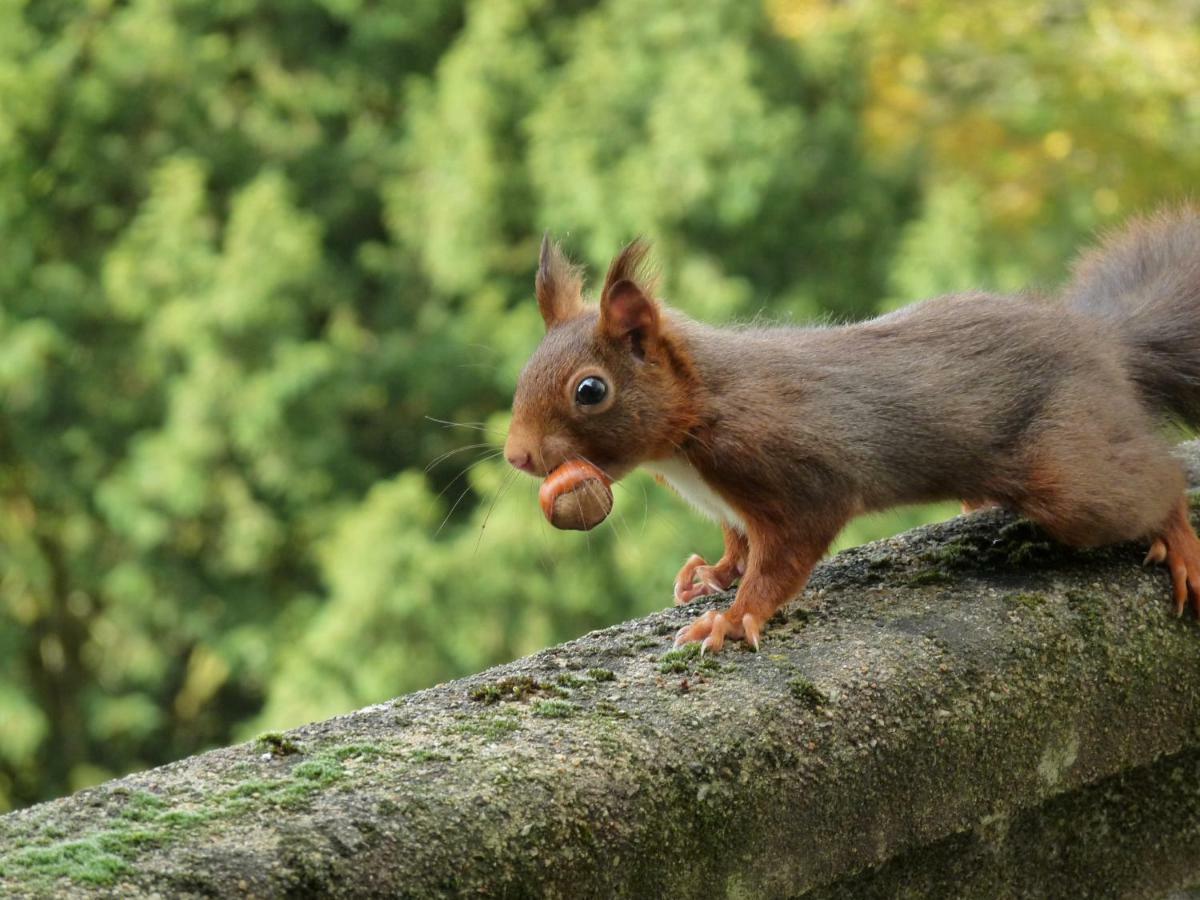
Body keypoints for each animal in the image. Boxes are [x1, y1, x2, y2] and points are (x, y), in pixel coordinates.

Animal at [501, 211, 1200, 657]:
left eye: (590, 391)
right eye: (525, 368)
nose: (516, 455)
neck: (696, 416)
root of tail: (1104, 343)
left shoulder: (795, 473)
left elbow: (780, 561)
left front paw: (732, 619)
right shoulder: (731, 505)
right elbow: (737, 544)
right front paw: (709, 576)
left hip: (1070, 477)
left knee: (1152, 484)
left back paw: (1179, 539)